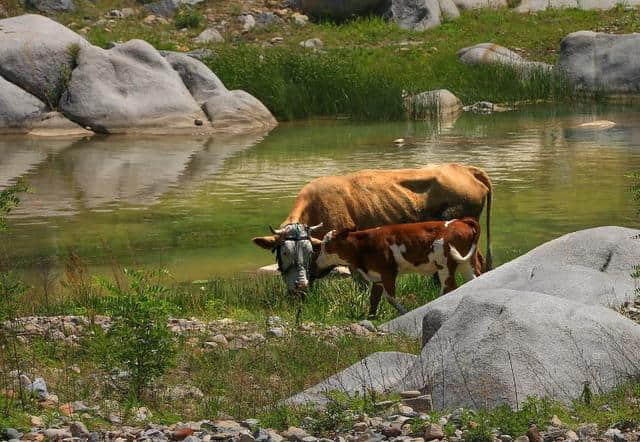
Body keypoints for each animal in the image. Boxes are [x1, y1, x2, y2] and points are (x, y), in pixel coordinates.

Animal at [316, 217, 480, 314]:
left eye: (326, 246)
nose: (317, 262)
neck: (363, 246)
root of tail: (460, 221)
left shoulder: (388, 272)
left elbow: (390, 297)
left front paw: (405, 312)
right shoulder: (377, 277)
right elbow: (373, 299)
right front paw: (370, 317)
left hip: (445, 265)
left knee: (449, 287)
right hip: (466, 263)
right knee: (473, 279)